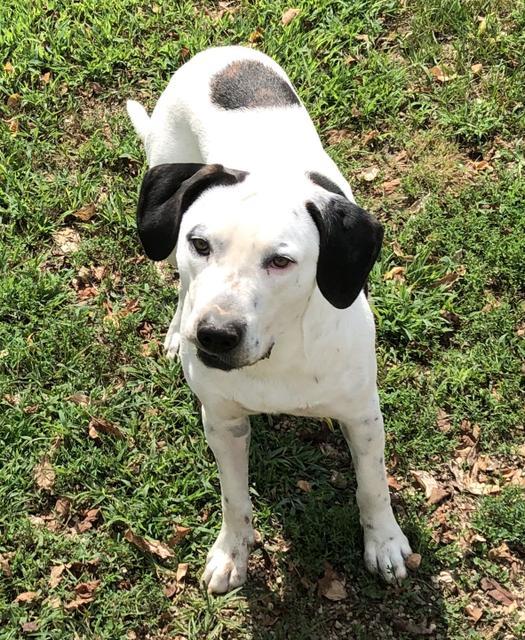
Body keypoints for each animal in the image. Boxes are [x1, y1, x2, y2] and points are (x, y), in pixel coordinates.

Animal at [126, 46, 410, 596]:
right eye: (200, 243)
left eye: (281, 261)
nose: (214, 336)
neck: (280, 354)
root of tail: (223, 53)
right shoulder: (223, 421)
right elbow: (234, 499)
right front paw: (232, 552)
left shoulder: (362, 415)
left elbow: (373, 486)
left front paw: (384, 542)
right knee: (179, 283)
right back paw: (176, 330)